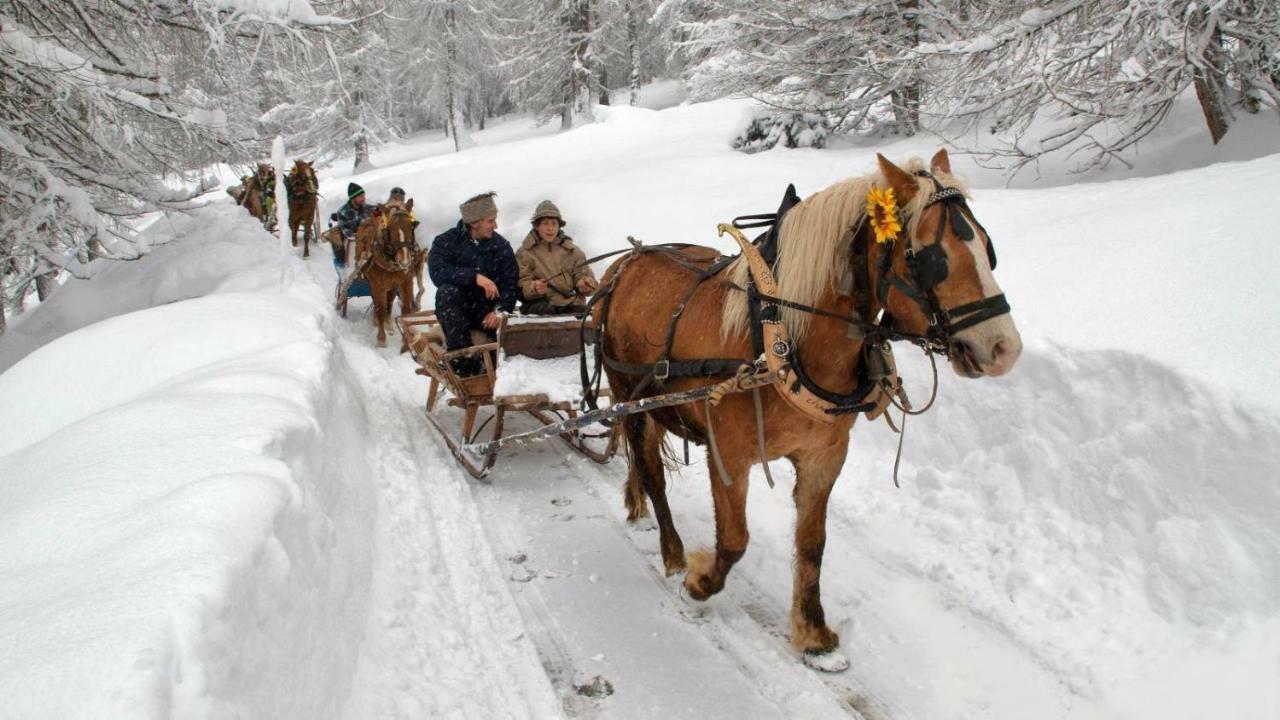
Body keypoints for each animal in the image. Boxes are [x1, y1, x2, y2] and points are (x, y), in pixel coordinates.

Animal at [353, 198, 417, 345]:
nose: (404, 260)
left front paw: (406, 339)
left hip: (391, 285)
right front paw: (381, 339)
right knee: (378, 303)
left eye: (411, 227)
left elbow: (406, 310)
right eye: (390, 230)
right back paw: (377, 321)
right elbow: (380, 309)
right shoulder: (377, 284)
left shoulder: (406, 281)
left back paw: (388, 323)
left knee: (390, 300)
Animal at [593, 149, 1024, 666]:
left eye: (988, 247)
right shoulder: (729, 454)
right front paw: (699, 581)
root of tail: (625, 263)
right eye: (928, 258)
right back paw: (673, 553)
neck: (777, 337)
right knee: (653, 473)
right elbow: (733, 540)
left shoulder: (824, 456)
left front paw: (813, 631)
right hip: (628, 397)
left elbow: (813, 543)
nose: (1003, 348)